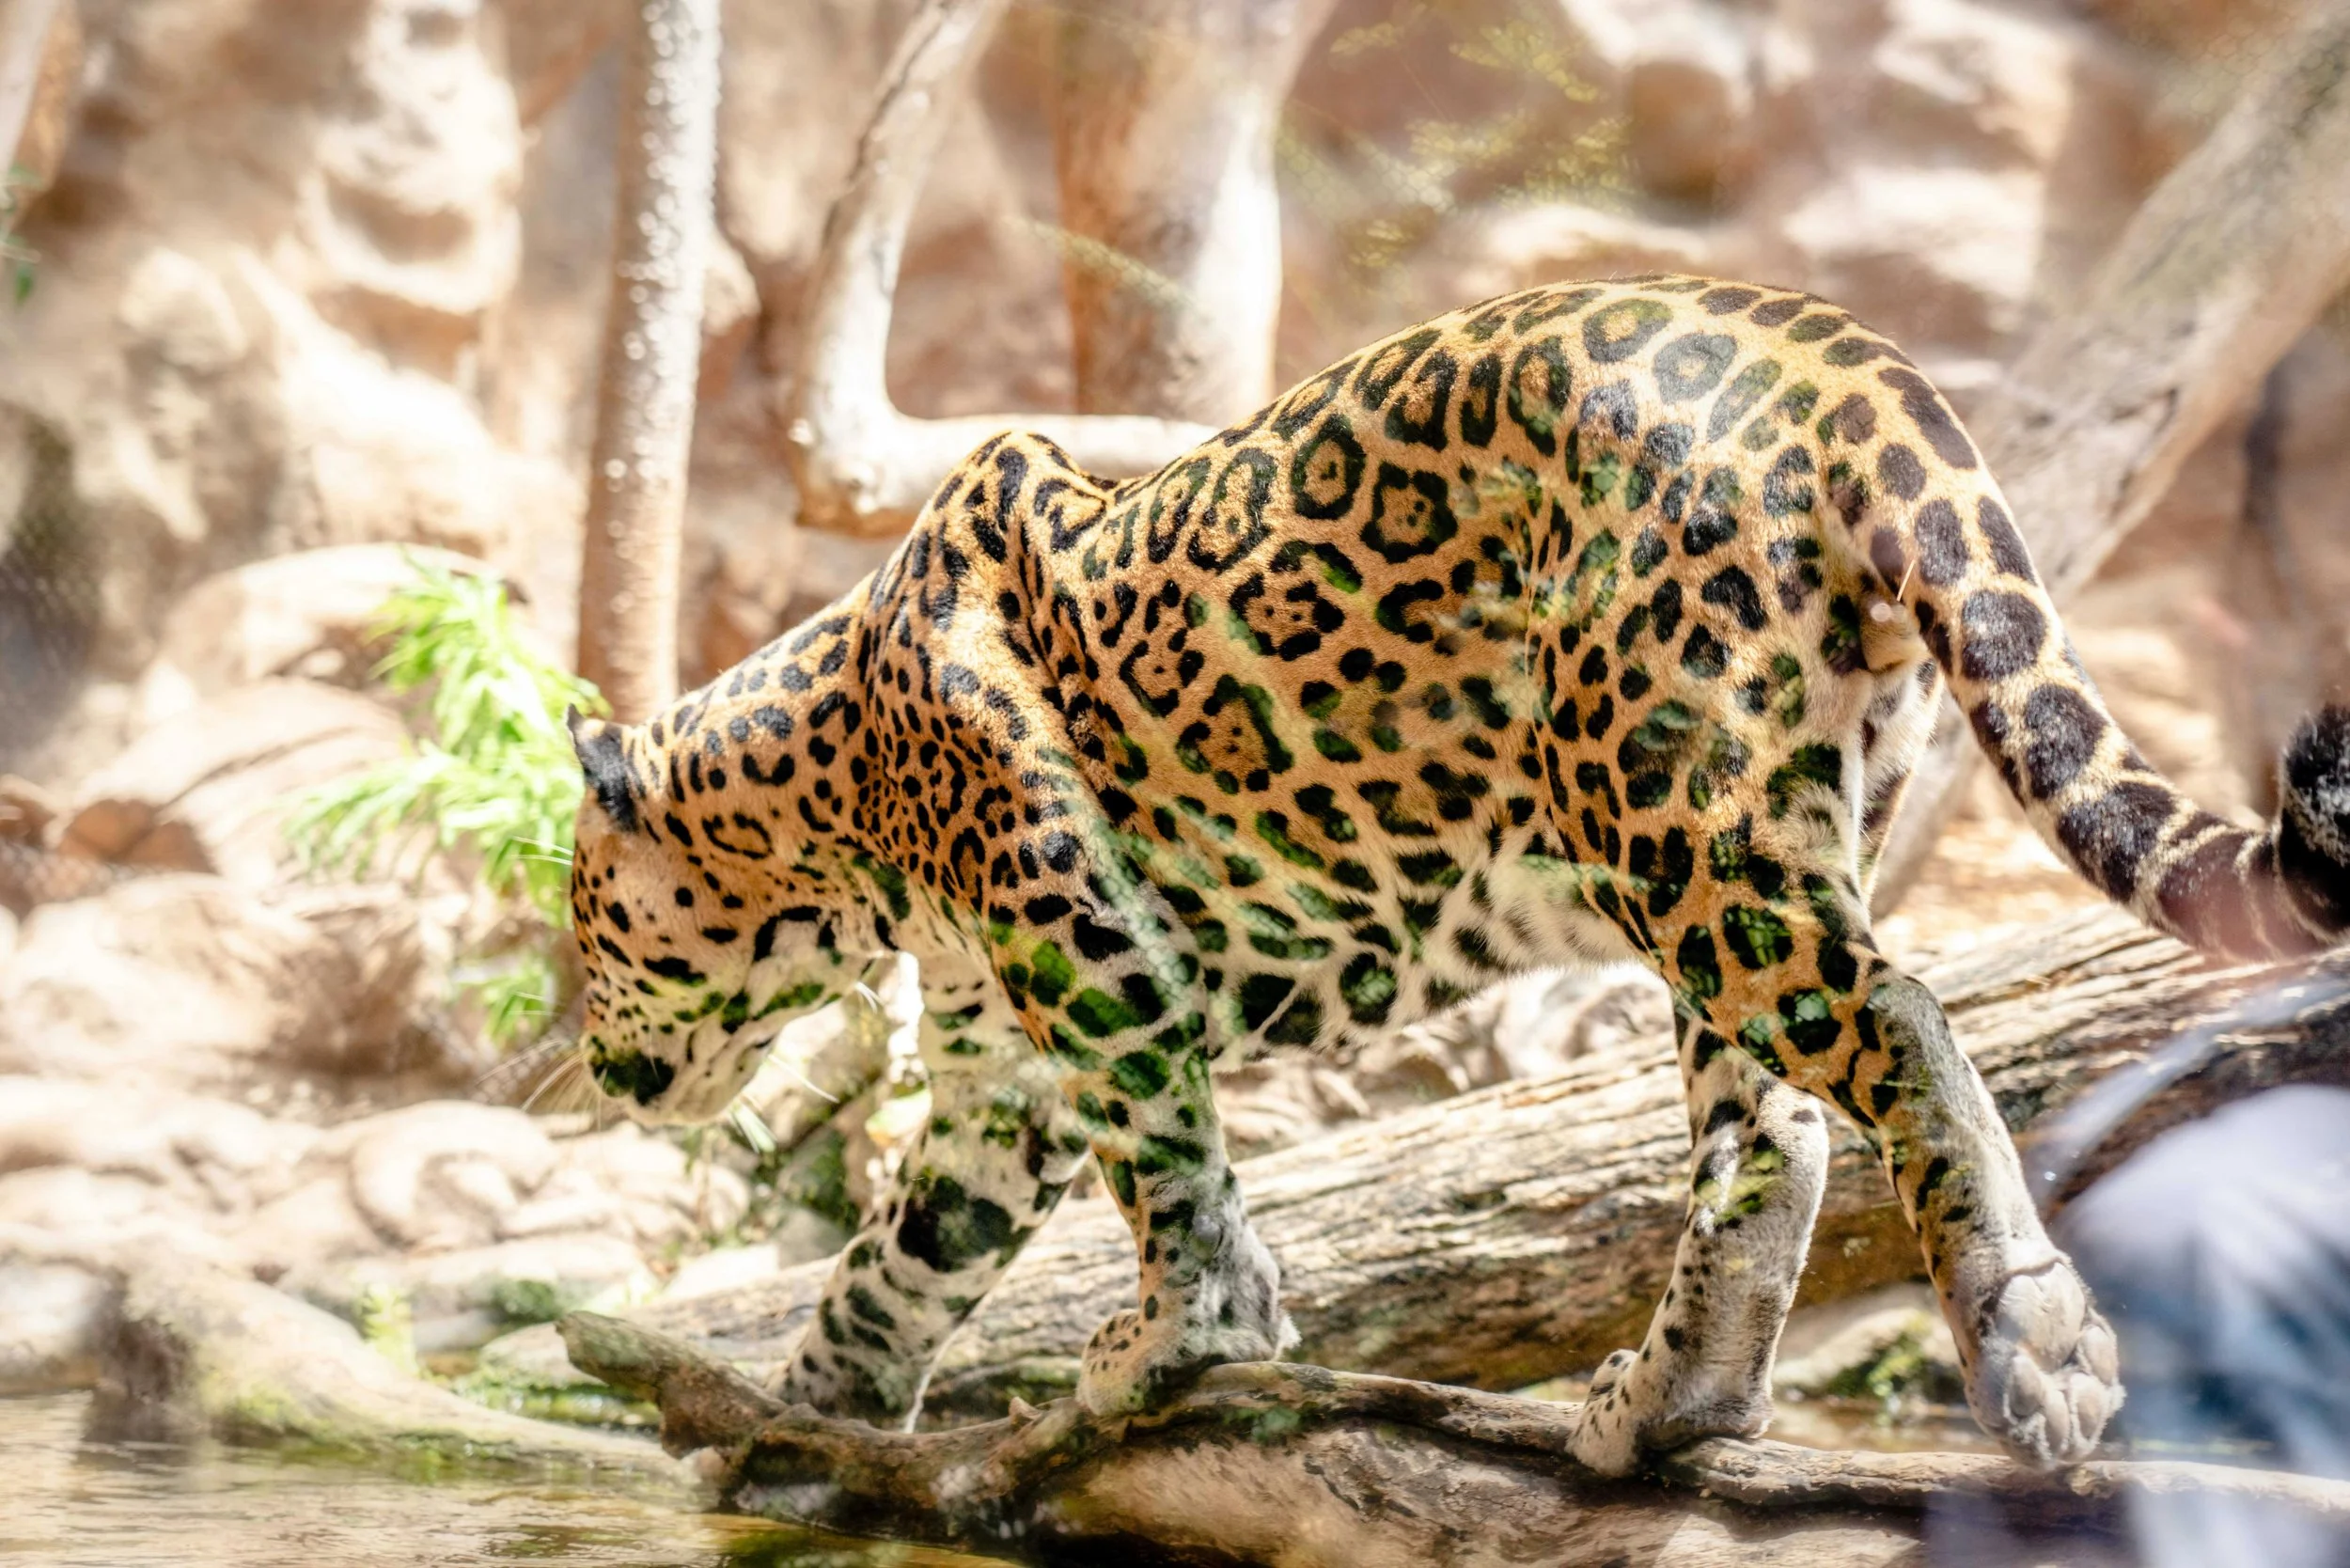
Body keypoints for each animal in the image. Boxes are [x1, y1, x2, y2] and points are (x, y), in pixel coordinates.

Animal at [562, 273, 2350, 1475]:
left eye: (582, 937)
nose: (588, 1062)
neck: (830, 799)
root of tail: (1847, 356)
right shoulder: (1003, 1066)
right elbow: (895, 1266)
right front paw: (787, 1430)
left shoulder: (1081, 941)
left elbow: (1169, 1169)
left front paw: (1172, 1345)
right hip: (1748, 825)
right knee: (1769, 1137)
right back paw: (1662, 1406)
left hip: (1679, 822)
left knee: (1896, 1023)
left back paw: (2028, 1340)